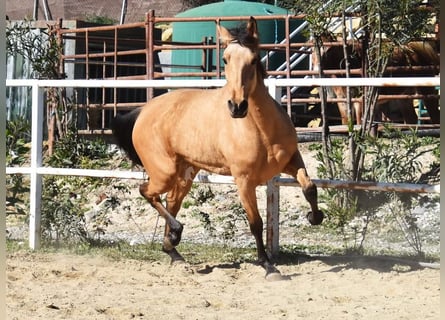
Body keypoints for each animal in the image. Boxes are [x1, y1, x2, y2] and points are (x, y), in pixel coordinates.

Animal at [112, 16, 322, 278]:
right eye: (225, 59)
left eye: (254, 59)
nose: (237, 106)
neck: (261, 129)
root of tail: (143, 111)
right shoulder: (244, 180)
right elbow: (256, 222)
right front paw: (268, 266)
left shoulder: (292, 160)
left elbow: (310, 188)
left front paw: (315, 217)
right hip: (164, 172)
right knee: (146, 191)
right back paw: (176, 233)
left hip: (185, 173)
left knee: (171, 201)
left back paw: (174, 250)